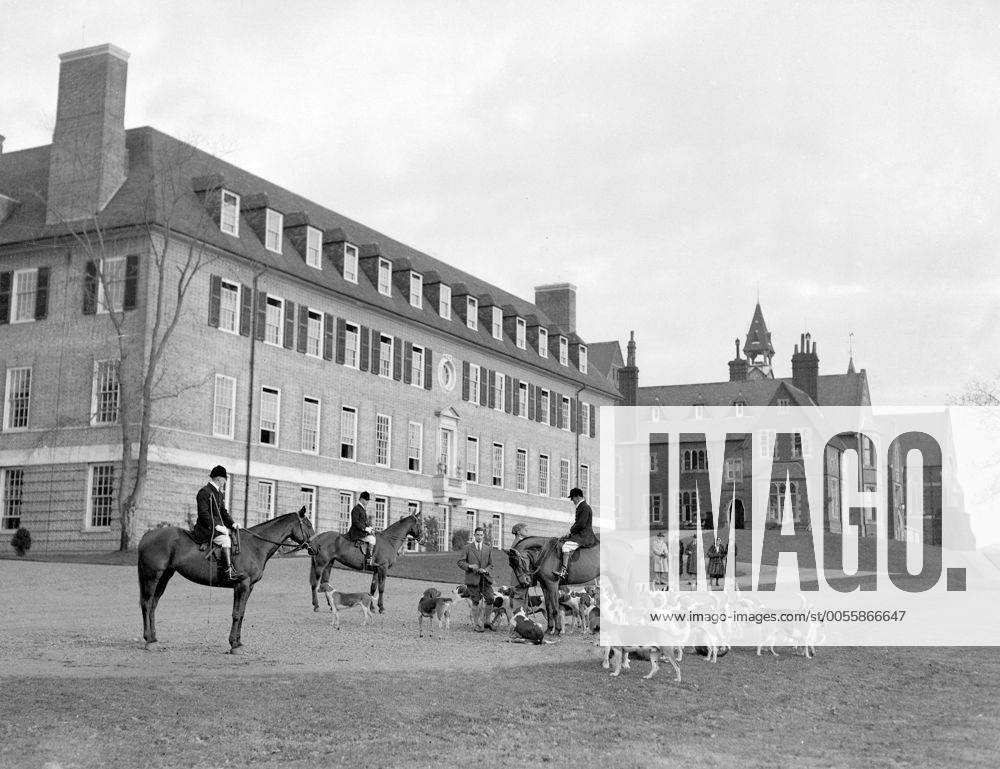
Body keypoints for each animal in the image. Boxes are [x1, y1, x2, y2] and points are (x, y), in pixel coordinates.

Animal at [137, 508, 314, 652]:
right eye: (308, 524)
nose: (315, 548)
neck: (255, 545)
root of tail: (148, 535)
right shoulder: (241, 585)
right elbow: (236, 613)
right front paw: (234, 644)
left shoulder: (249, 587)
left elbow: (241, 613)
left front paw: (238, 642)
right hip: (152, 576)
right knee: (147, 603)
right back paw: (149, 640)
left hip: (165, 576)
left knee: (153, 604)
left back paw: (154, 638)